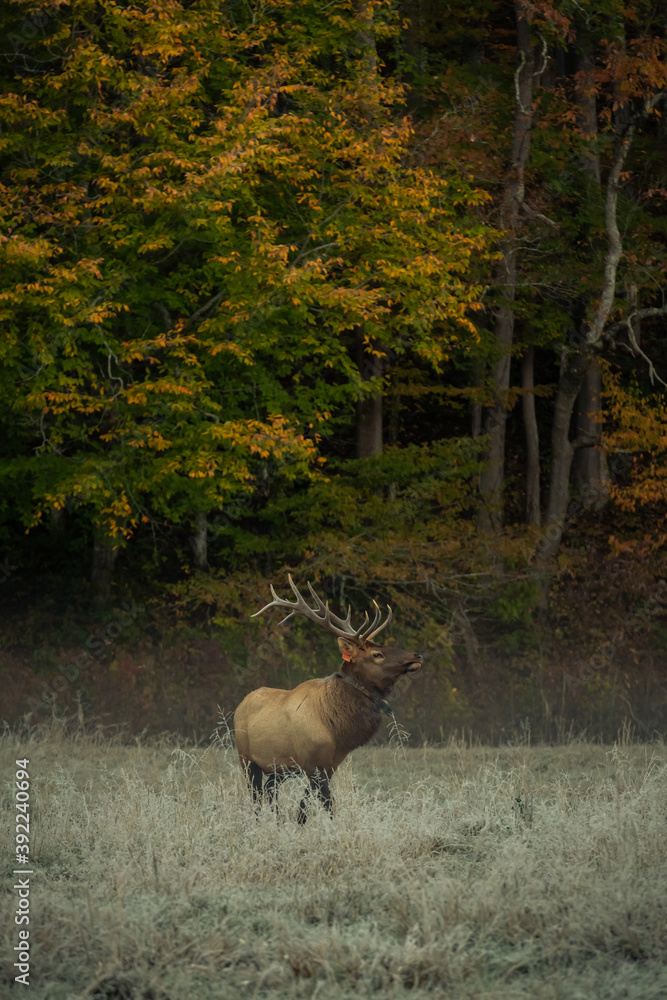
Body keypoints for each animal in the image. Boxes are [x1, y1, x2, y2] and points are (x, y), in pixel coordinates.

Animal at [235, 580, 422, 820]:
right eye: (377, 654)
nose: (417, 655)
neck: (338, 732)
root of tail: (240, 704)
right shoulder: (313, 764)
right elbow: (328, 805)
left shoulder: (329, 765)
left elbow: (304, 807)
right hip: (247, 759)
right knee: (257, 797)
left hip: (279, 766)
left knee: (269, 791)